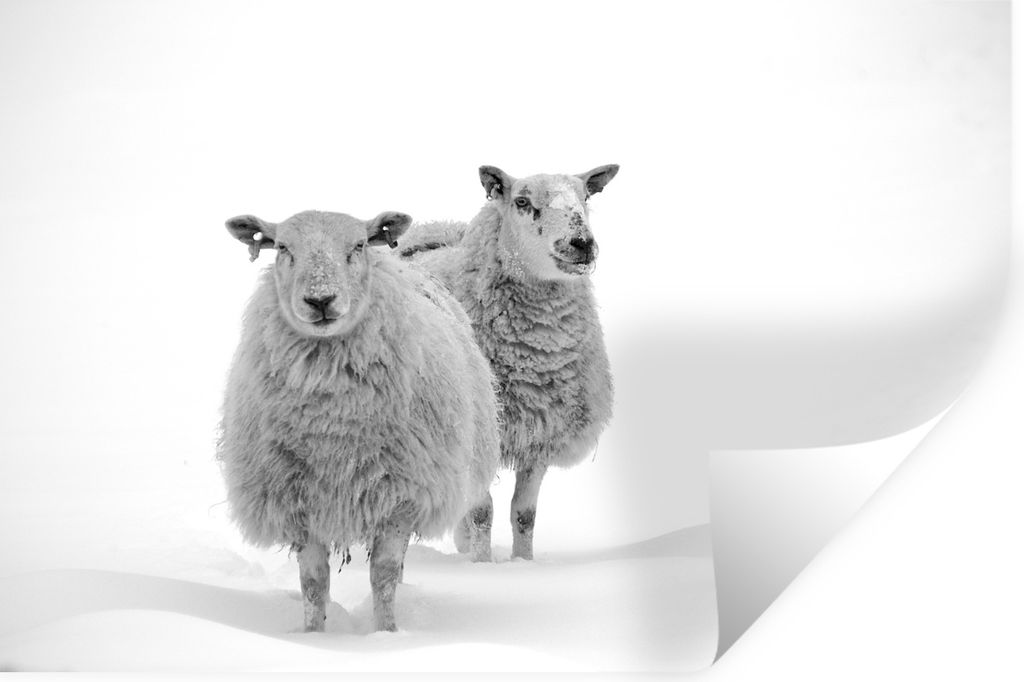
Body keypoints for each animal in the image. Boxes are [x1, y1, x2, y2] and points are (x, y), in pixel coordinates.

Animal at [218, 209, 500, 632]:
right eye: (282, 247)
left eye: (359, 245)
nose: (320, 299)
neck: (332, 426)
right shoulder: (298, 501)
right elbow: (313, 583)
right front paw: (313, 635)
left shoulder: (401, 497)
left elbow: (382, 576)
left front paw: (386, 633)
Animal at [399, 165, 618, 560]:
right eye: (522, 202)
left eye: (586, 197)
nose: (581, 243)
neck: (535, 355)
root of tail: (428, 233)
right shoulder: (479, 435)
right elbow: (482, 513)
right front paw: (482, 565)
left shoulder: (539, 437)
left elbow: (524, 514)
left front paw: (522, 563)